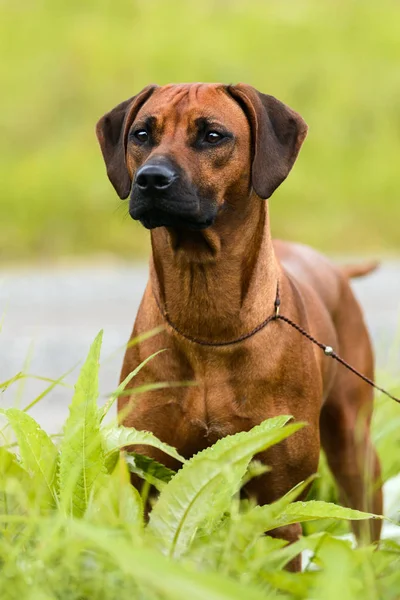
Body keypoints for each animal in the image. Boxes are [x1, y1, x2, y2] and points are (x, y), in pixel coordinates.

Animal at [96, 83, 382, 568]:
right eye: (141, 134)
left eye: (212, 135)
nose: (151, 179)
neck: (208, 319)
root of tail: (335, 269)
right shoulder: (149, 481)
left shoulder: (276, 504)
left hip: (355, 446)